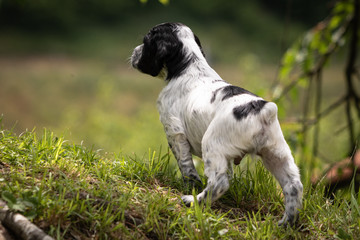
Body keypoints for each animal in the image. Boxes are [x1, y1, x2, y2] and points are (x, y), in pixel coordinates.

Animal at [131, 22, 302, 225]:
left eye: (145, 41)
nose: (134, 51)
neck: (189, 67)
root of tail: (262, 109)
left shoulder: (174, 132)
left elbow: (186, 167)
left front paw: (190, 188)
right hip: (276, 153)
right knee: (293, 185)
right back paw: (285, 223)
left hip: (212, 143)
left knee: (219, 182)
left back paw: (193, 201)